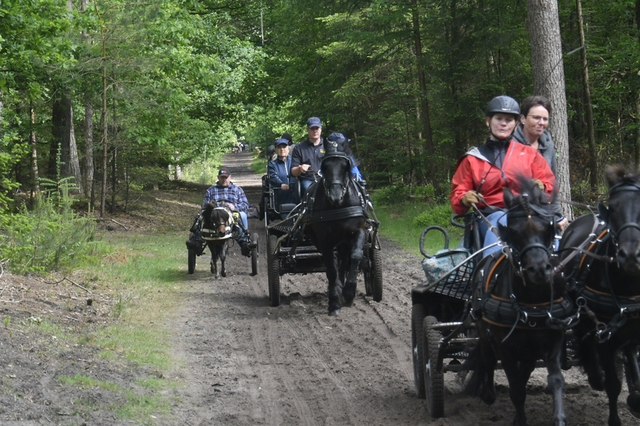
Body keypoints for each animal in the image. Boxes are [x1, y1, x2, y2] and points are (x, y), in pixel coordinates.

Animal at [308, 141, 364, 314]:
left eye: (345, 166)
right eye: (325, 166)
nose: (335, 196)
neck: (338, 207)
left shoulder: (359, 230)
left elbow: (356, 256)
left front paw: (349, 292)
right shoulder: (324, 240)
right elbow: (331, 269)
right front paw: (333, 303)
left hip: (343, 242)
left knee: (344, 261)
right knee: (333, 262)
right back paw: (337, 288)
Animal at [464, 178, 568, 426]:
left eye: (548, 227)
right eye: (513, 231)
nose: (538, 270)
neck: (533, 300)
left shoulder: (554, 339)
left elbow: (556, 380)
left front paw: (559, 417)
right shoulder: (506, 347)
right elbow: (516, 388)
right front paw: (519, 419)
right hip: (484, 331)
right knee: (487, 357)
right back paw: (488, 393)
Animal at [556, 165, 640, 424]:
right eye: (613, 208)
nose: (630, 256)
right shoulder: (607, 338)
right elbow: (613, 385)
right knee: (584, 339)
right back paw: (594, 375)